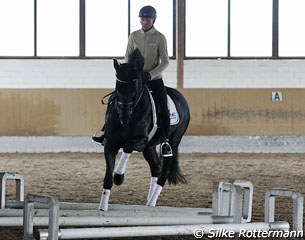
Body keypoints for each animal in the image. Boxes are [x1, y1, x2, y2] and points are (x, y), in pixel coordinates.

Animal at [98, 49, 189, 211]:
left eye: (134, 87)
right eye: (117, 86)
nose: (124, 115)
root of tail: (181, 98)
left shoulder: (140, 141)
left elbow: (127, 147)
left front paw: (119, 177)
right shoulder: (110, 143)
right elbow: (107, 177)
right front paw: (103, 207)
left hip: (173, 142)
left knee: (164, 172)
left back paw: (152, 201)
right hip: (149, 147)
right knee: (156, 169)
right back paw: (148, 203)